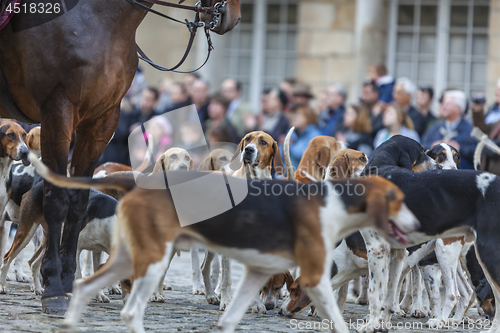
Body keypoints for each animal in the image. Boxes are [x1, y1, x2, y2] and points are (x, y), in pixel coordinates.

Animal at [0, 0, 240, 314]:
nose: (233, 18)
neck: (102, 21)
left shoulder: (102, 120)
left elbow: (77, 202)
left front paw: (68, 282)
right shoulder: (58, 112)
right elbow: (58, 200)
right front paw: (54, 289)